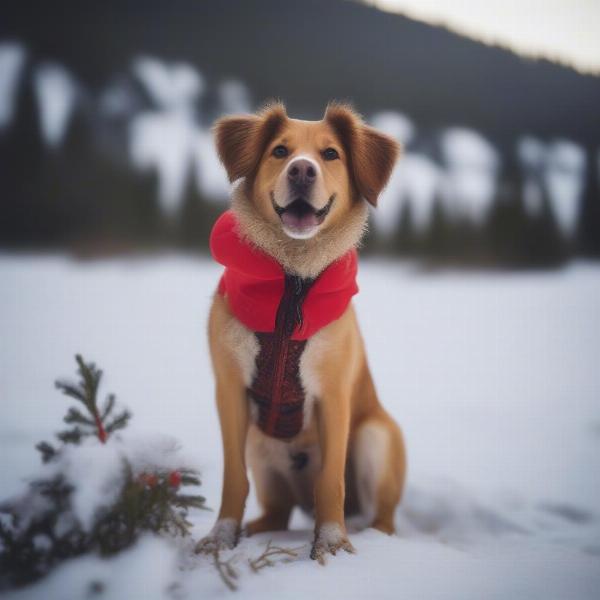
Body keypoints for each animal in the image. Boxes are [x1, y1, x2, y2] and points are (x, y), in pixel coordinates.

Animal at [198, 101, 408, 564]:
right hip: (260, 447)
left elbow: (330, 481)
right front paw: (222, 535)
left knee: (382, 518)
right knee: (277, 511)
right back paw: (257, 530)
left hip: (375, 437)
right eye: (279, 150)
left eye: (330, 154)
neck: (294, 277)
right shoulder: (229, 389)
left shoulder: (332, 394)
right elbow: (233, 478)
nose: (301, 170)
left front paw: (331, 542)